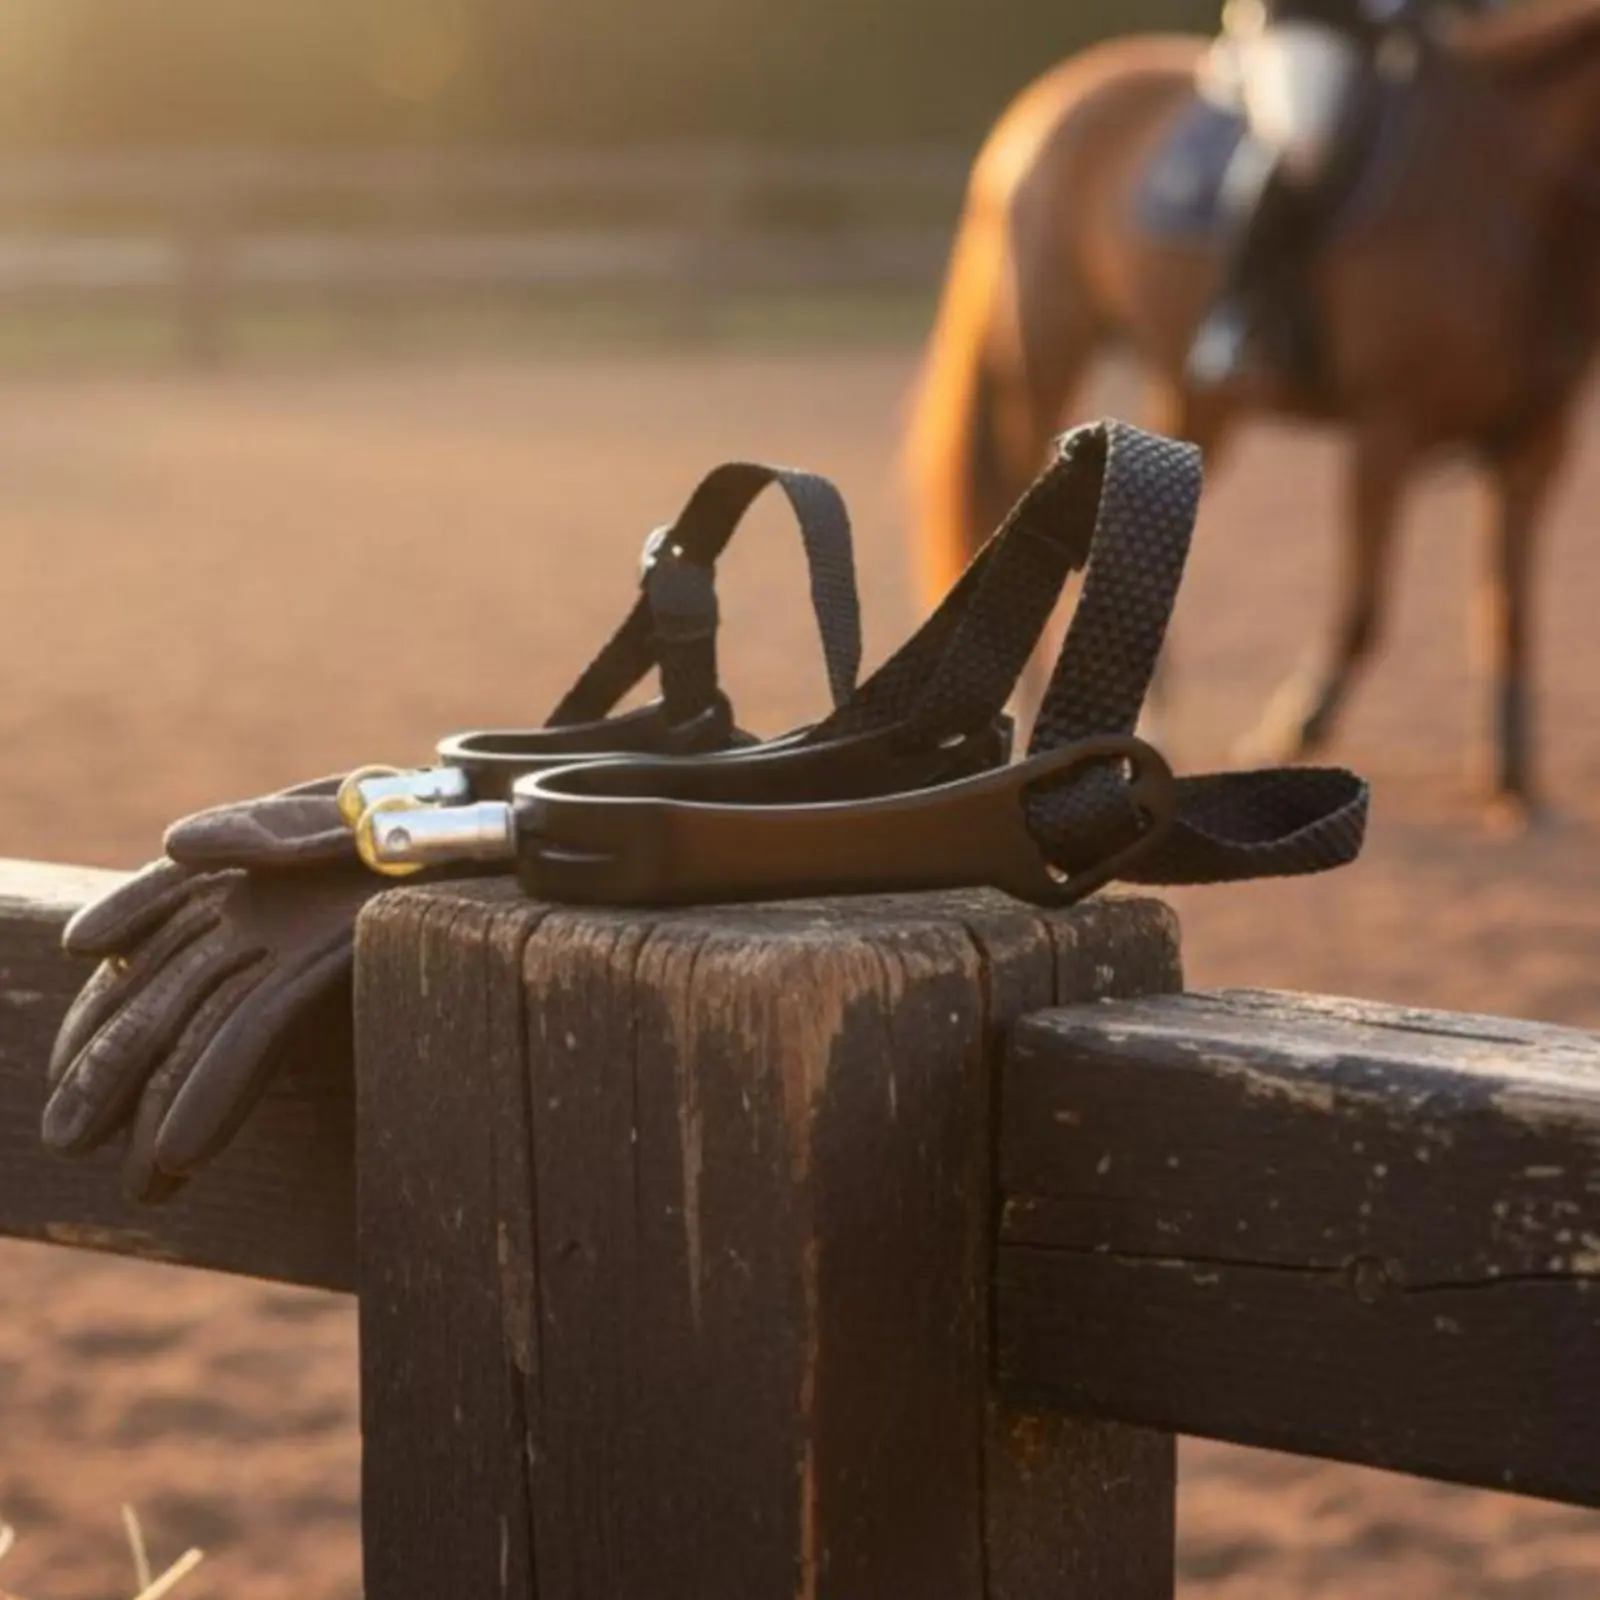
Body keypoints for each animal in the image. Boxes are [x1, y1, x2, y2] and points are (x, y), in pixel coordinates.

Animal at [907, 0, 1600, 823]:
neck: (1512, 188)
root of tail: (1051, 100)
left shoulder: (1538, 444)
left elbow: (1509, 614)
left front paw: (1510, 779)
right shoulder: (1386, 430)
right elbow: (1366, 606)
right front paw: (1295, 723)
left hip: (1194, 392)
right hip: (1048, 350)